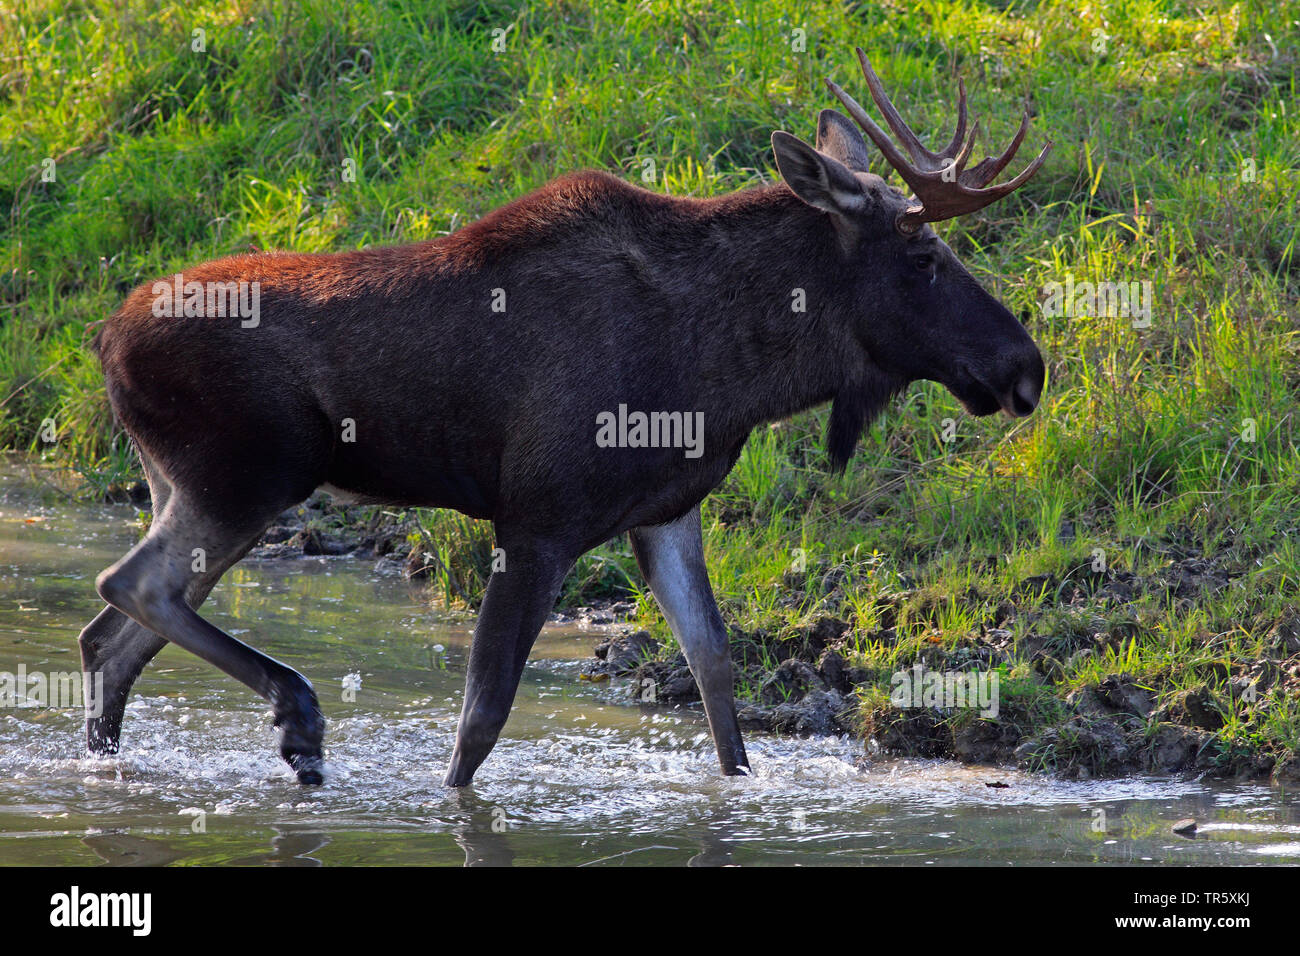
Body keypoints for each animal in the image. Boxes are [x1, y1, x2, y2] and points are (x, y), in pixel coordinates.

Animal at [83, 48, 1045, 790]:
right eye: (923, 257)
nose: (1026, 369)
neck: (733, 368)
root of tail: (104, 339)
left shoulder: (665, 514)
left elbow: (716, 673)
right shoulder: (537, 520)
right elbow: (481, 719)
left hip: (195, 486)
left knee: (110, 639)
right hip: (247, 476)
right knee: (130, 588)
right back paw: (299, 718)